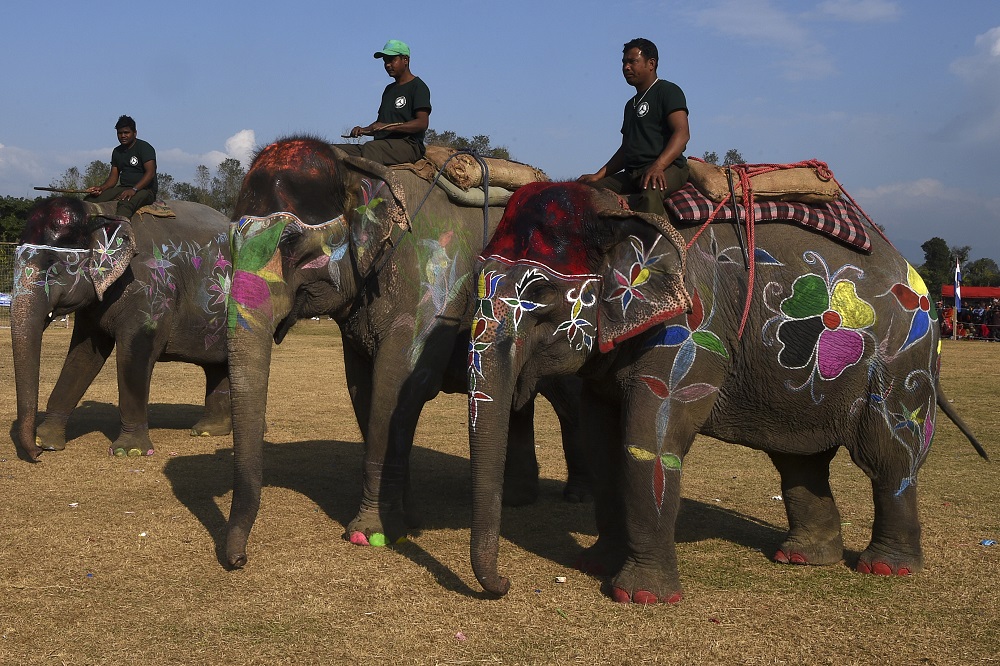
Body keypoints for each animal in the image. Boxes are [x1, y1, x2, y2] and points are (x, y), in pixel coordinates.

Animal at [11, 196, 233, 461]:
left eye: (52, 264)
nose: (35, 455)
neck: (99, 213)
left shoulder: (151, 289)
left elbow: (134, 354)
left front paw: (129, 451)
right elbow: (84, 356)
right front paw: (47, 441)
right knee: (217, 365)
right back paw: (208, 431)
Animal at [223, 137, 587, 568]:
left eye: (291, 242)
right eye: (228, 244)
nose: (239, 560)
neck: (355, 165)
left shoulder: (434, 279)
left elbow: (397, 381)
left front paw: (369, 535)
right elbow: (365, 387)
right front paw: (406, 520)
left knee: (571, 398)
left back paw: (578, 496)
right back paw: (517, 499)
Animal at [467, 181, 987, 604]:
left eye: (542, 300)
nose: (505, 585)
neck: (620, 210)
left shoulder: (691, 329)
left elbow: (651, 439)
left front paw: (641, 597)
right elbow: (604, 441)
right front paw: (594, 564)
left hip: (902, 362)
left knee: (888, 458)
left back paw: (885, 567)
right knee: (800, 459)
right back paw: (802, 558)